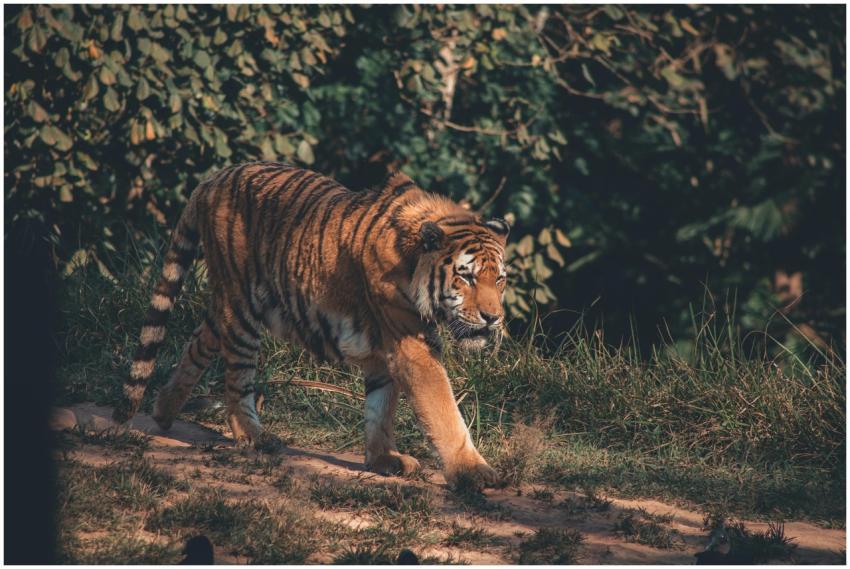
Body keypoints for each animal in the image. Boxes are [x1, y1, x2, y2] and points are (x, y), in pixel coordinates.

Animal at [113, 162, 510, 487]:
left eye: (500, 279)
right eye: (466, 277)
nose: (493, 318)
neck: (413, 260)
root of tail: (215, 177)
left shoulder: (385, 350)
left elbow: (381, 407)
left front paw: (384, 459)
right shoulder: (411, 345)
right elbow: (442, 409)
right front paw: (472, 472)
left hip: (229, 305)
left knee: (199, 340)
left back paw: (164, 410)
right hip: (242, 309)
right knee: (237, 379)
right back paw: (254, 437)